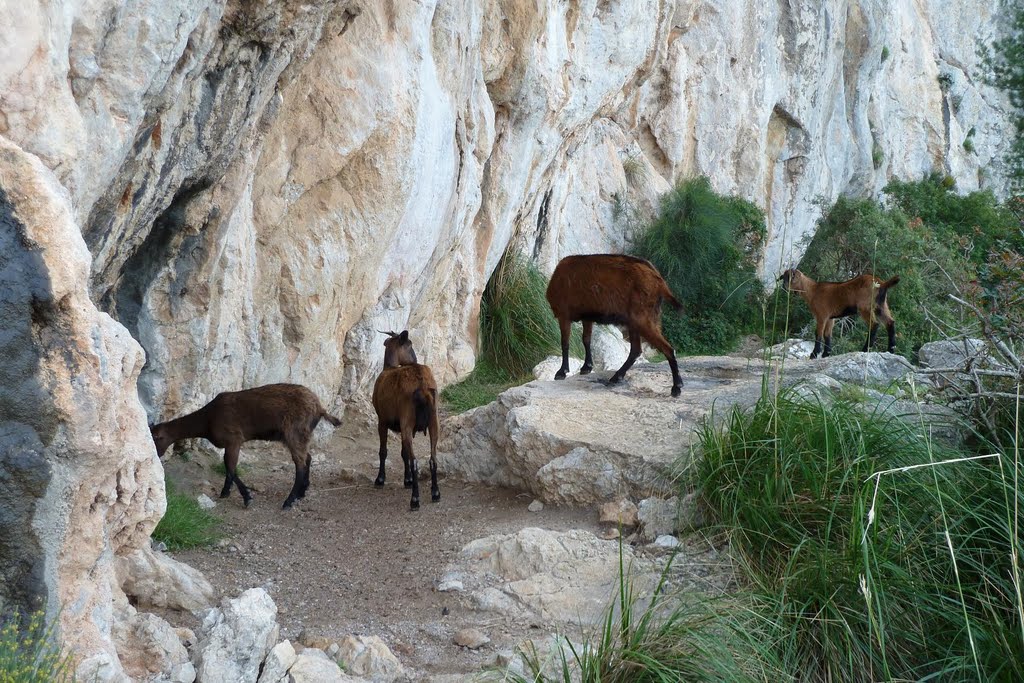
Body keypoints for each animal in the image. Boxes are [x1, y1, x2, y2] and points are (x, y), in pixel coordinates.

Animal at [148, 382, 342, 509]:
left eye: (156, 438)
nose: (156, 455)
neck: (207, 419)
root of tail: (319, 408)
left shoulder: (233, 439)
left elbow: (230, 466)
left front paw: (246, 497)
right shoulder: (232, 443)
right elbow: (228, 467)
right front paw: (225, 492)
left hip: (294, 431)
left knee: (300, 463)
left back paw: (289, 501)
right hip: (302, 434)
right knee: (307, 457)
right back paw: (302, 492)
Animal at [374, 327, 442, 509]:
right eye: (410, 345)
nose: (414, 359)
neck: (389, 368)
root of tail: (423, 387)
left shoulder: (382, 420)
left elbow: (383, 451)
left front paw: (380, 479)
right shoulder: (407, 429)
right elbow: (404, 452)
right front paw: (407, 480)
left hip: (407, 421)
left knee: (415, 462)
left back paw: (415, 500)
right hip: (433, 422)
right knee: (433, 459)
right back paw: (435, 493)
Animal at [548, 254, 684, 395]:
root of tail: (660, 281)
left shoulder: (563, 314)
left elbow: (565, 343)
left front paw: (561, 372)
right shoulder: (587, 317)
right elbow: (586, 339)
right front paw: (587, 367)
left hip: (642, 319)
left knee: (667, 349)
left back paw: (676, 387)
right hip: (642, 320)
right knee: (636, 350)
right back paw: (617, 376)